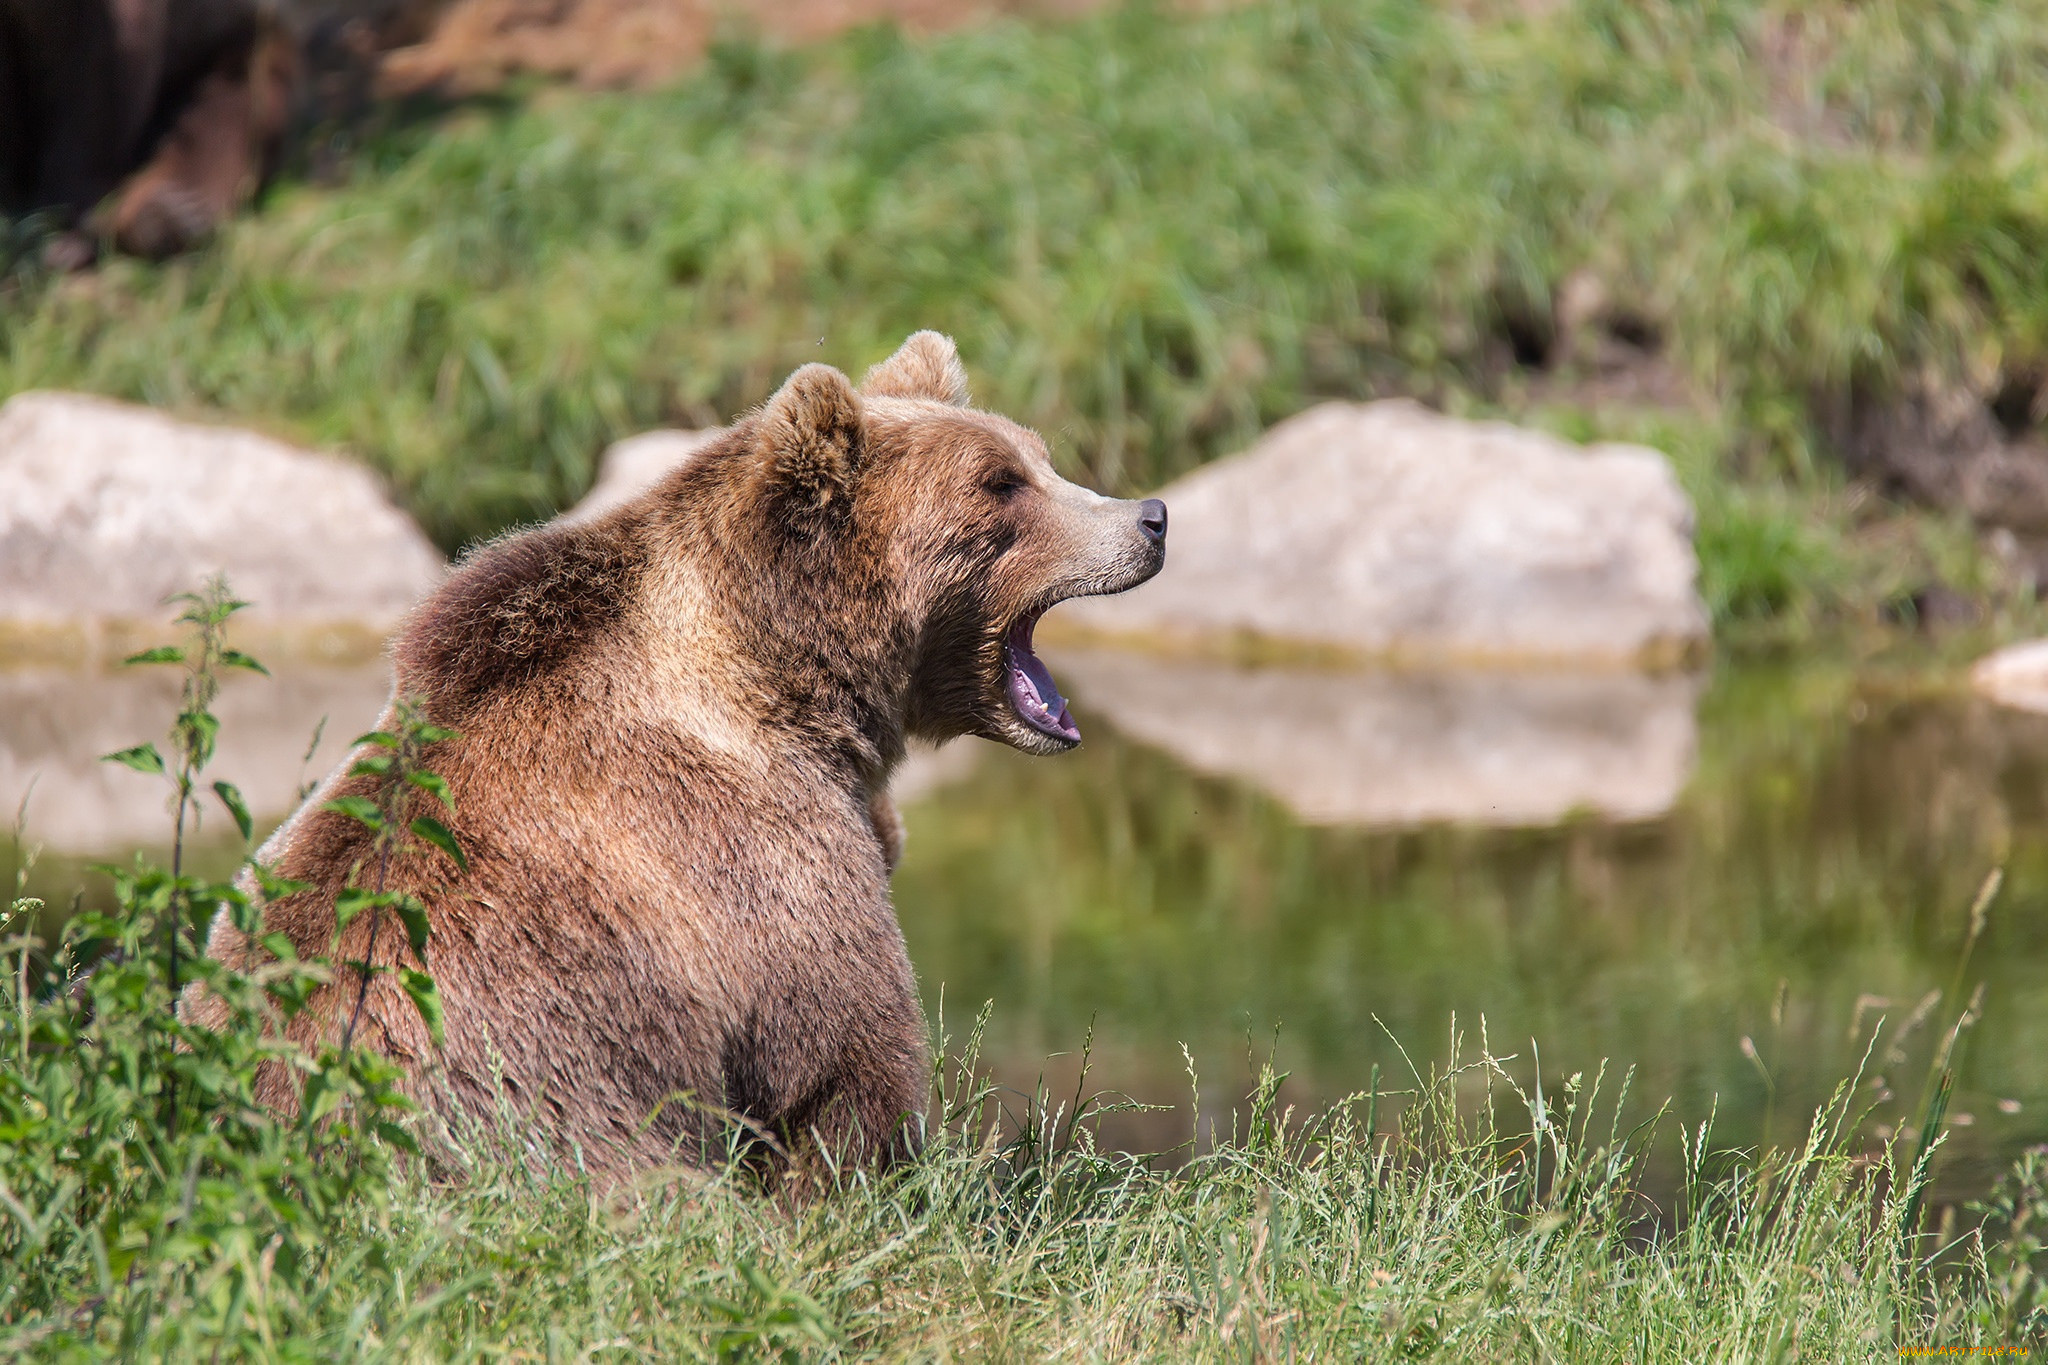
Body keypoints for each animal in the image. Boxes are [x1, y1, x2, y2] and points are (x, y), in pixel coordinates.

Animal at [199, 333, 1179, 1178]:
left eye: (1040, 456)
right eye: (1000, 484)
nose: (1153, 516)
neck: (789, 681)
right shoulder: (750, 854)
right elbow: (844, 1059)